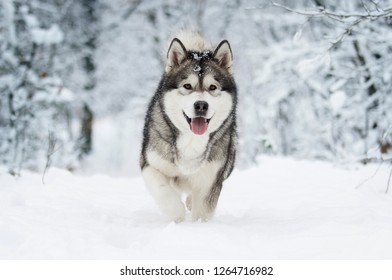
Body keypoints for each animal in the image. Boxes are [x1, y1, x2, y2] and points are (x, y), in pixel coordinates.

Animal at [141, 30, 239, 222]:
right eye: (187, 86)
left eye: (212, 87)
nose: (201, 105)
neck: (192, 141)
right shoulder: (150, 162)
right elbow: (162, 189)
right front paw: (176, 213)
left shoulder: (210, 179)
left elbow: (204, 210)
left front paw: (198, 225)